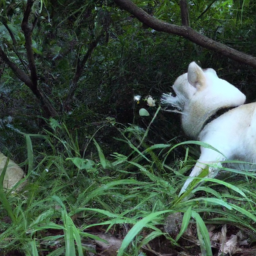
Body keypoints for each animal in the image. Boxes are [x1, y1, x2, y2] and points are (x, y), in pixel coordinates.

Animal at [161, 62, 256, 194]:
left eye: (174, 92)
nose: (163, 97)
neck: (220, 112)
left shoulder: (210, 159)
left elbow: (187, 188)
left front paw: (176, 199)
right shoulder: (234, 167)